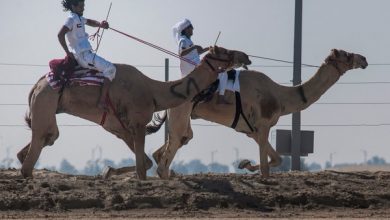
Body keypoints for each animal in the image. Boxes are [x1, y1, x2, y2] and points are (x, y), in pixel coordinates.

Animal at [16, 45, 251, 180]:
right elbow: (142, 169)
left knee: (38, 143)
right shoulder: (138, 124)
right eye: (225, 52)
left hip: (45, 108)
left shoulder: (121, 127)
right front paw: (111, 173)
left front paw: (107, 172)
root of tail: (37, 85)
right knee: (43, 140)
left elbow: (144, 163)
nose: (245, 56)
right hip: (46, 101)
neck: (154, 92)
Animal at [103, 47, 368, 179]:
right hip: (181, 113)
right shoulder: (262, 124)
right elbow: (268, 167)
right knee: (172, 147)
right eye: (346, 55)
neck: (281, 96)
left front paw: (244, 163)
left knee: (169, 147)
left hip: (182, 118)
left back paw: (115, 171)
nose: (363, 59)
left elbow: (277, 159)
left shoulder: (254, 130)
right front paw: (251, 167)